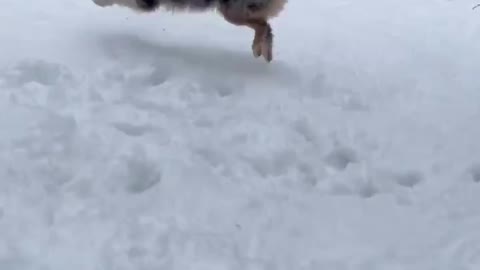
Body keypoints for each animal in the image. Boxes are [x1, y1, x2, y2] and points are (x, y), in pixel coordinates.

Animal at [94, 0, 288, 61]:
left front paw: (99, 1)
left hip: (232, 12)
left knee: (264, 26)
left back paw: (258, 48)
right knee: (267, 27)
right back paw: (265, 54)